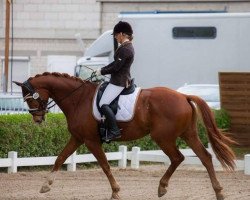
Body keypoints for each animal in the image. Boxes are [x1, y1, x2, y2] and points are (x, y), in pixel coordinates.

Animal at [14, 72, 235, 200]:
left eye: (29, 98)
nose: (38, 119)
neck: (78, 98)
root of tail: (183, 96)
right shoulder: (77, 138)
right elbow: (60, 158)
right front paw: (45, 185)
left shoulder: (91, 141)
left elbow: (104, 165)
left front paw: (116, 192)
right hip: (188, 134)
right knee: (205, 157)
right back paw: (219, 192)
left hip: (163, 137)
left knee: (177, 158)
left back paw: (162, 187)